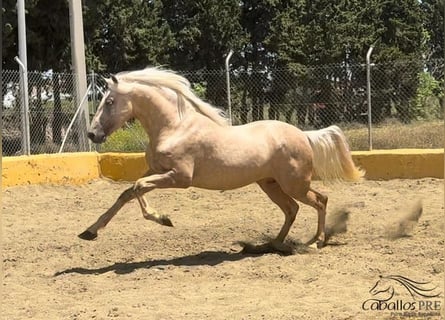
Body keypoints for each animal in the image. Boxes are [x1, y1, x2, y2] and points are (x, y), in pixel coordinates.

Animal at [79, 67, 364, 252]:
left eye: (110, 101)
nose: (92, 134)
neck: (174, 127)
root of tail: (303, 135)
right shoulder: (155, 170)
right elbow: (128, 192)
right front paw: (89, 232)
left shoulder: (180, 177)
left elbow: (137, 188)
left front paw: (164, 219)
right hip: (270, 184)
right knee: (291, 209)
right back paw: (272, 243)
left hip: (295, 184)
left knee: (320, 200)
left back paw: (315, 242)